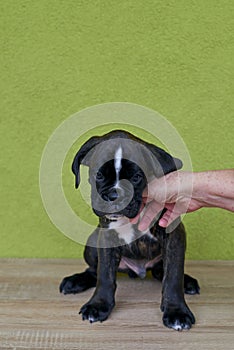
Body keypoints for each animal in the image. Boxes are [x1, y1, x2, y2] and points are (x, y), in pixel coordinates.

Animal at [59, 130, 199, 330]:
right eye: (99, 175)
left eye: (136, 178)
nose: (114, 195)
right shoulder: (106, 238)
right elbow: (104, 275)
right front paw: (98, 305)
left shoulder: (173, 234)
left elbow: (173, 275)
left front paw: (176, 311)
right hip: (92, 242)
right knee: (93, 270)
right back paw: (75, 281)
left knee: (162, 271)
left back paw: (187, 282)